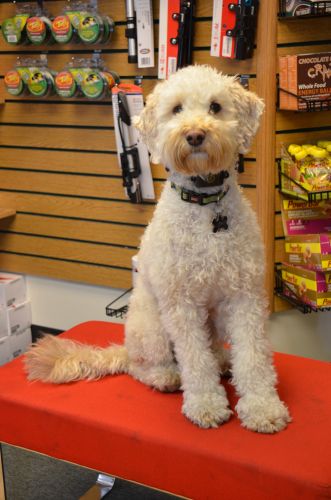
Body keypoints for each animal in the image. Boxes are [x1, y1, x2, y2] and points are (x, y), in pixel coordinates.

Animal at [25, 65, 290, 434]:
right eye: (177, 109)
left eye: (216, 107)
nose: (195, 135)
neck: (205, 205)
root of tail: (125, 348)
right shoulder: (181, 305)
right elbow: (195, 360)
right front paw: (206, 405)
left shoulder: (244, 296)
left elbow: (253, 356)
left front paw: (262, 407)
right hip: (152, 326)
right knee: (143, 367)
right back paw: (165, 375)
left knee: (215, 352)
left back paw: (223, 361)